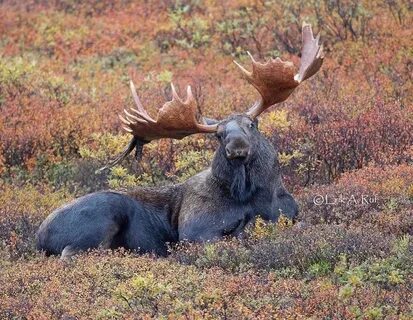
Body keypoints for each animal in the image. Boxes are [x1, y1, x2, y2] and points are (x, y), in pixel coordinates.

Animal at [37, 23, 324, 258]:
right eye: (219, 135)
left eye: (251, 125)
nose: (237, 148)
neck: (255, 196)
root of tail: (39, 237)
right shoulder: (194, 231)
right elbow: (236, 237)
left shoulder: (291, 214)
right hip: (103, 216)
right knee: (74, 253)